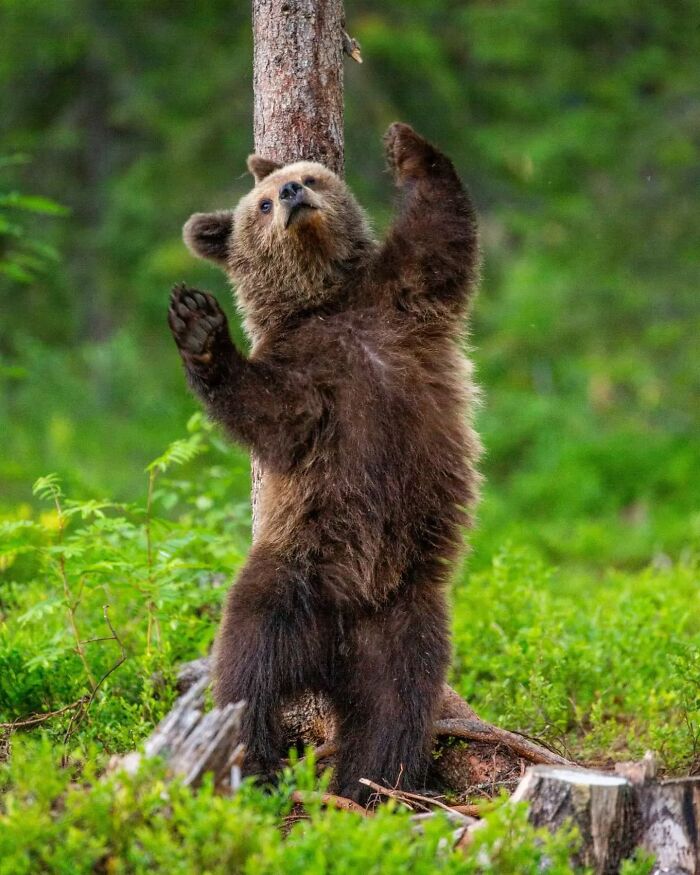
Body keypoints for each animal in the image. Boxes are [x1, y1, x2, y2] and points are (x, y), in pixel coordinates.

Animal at [168, 123, 481, 803]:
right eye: (260, 205)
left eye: (310, 176)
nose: (289, 193)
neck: (328, 304)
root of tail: (332, 654)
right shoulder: (308, 378)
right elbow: (269, 415)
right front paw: (199, 327)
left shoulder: (399, 303)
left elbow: (442, 234)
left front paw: (405, 145)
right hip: (289, 577)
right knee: (248, 668)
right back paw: (256, 763)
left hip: (403, 619)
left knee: (396, 705)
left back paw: (373, 784)